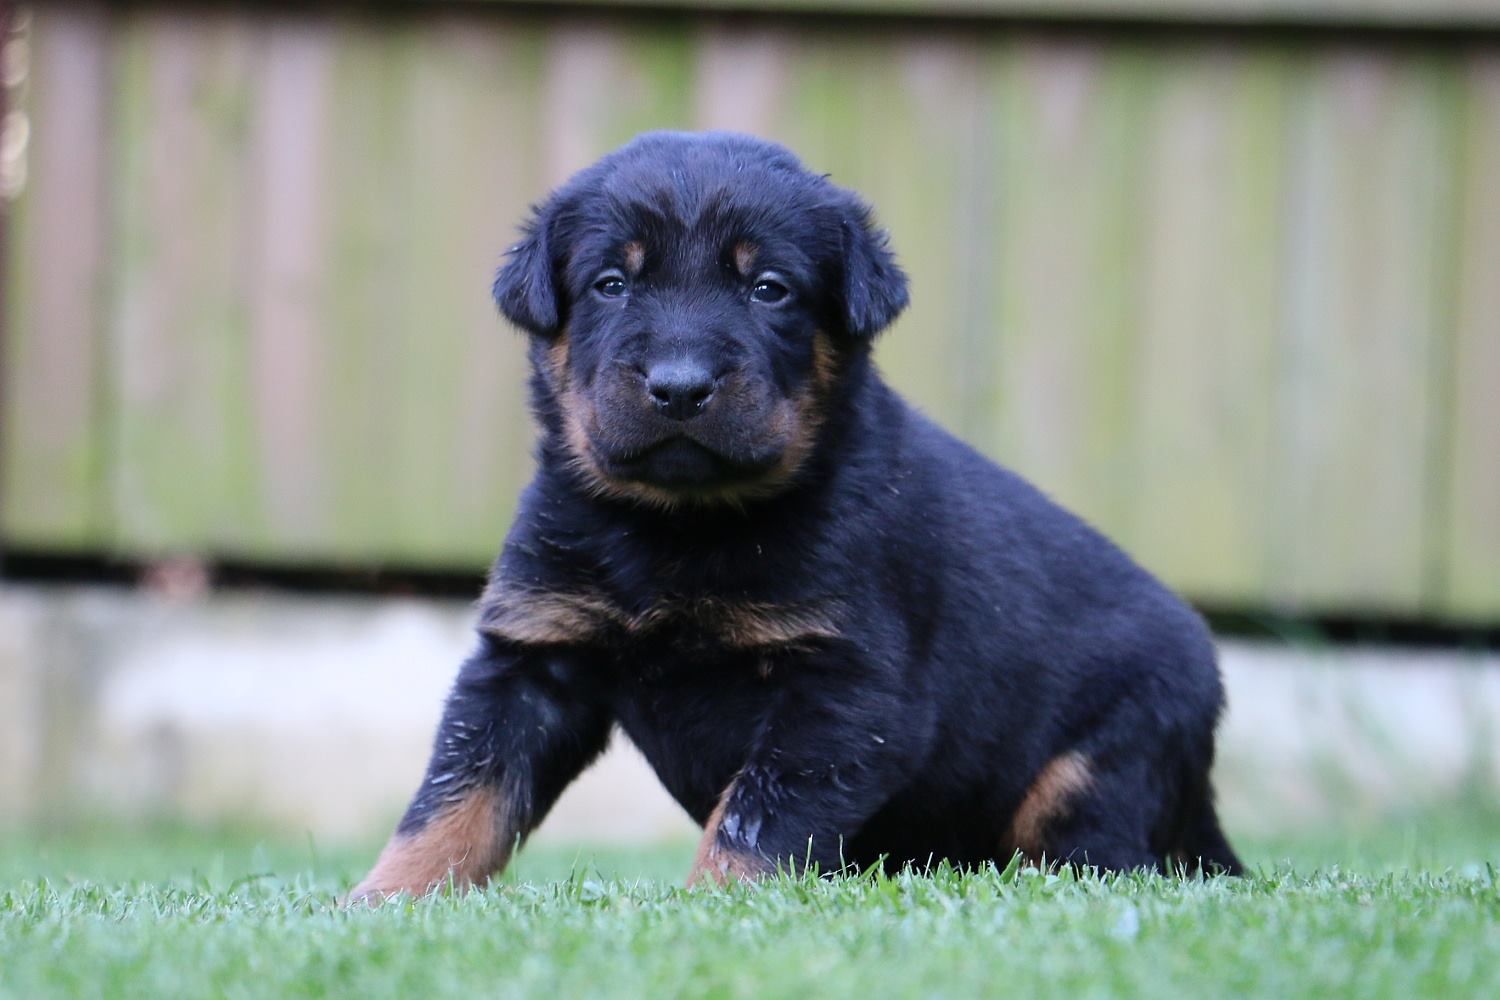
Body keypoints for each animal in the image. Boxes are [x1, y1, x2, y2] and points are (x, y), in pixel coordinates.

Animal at [351, 128, 1242, 905]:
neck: (681, 527)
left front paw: (711, 907)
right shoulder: (531, 660)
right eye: (611, 283)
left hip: (1105, 754)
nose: (680, 386)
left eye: (768, 288)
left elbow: (755, 816)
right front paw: (383, 899)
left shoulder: (843, 692)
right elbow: (458, 796)